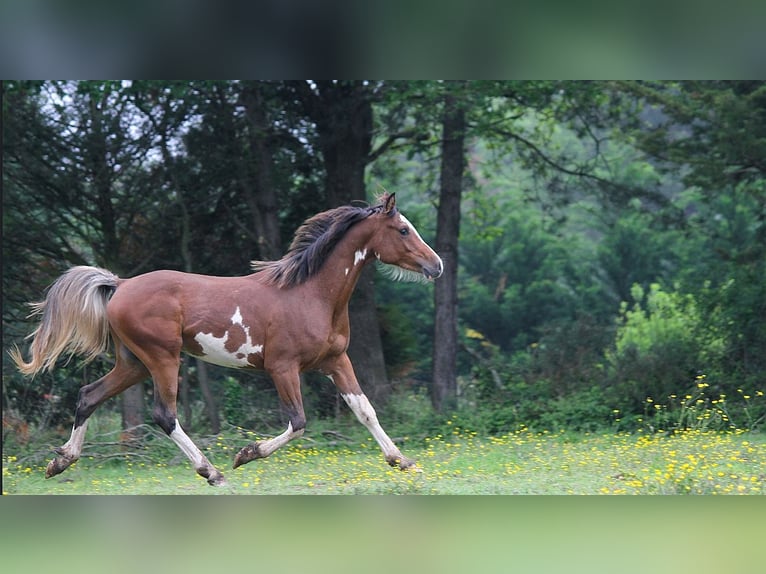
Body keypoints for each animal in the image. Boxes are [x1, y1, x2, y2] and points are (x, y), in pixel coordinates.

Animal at [10, 194, 444, 486]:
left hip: (133, 363)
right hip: (163, 358)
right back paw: (213, 471)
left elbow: (365, 409)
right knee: (164, 415)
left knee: (89, 395)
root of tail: (120, 285)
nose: (436, 265)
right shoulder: (282, 368)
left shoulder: (336, 361)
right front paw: (245, 455)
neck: (310, 294)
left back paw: (60, 462)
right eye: (403, 229)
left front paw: (402, 461)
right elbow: (299, 422)